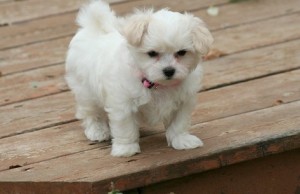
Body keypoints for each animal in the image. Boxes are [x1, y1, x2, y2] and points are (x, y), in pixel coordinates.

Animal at [65, 0, 213, 157]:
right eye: (152, 53)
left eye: (182, 52)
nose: (169, 70)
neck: (158, 85)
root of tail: (93, 28)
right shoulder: (123, 105)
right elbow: (125, 128)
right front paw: (125, 149)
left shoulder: (183, 102)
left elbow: (179, 123)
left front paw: (182, 140)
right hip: (85, 91)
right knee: (91, 112)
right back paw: (97, 130)